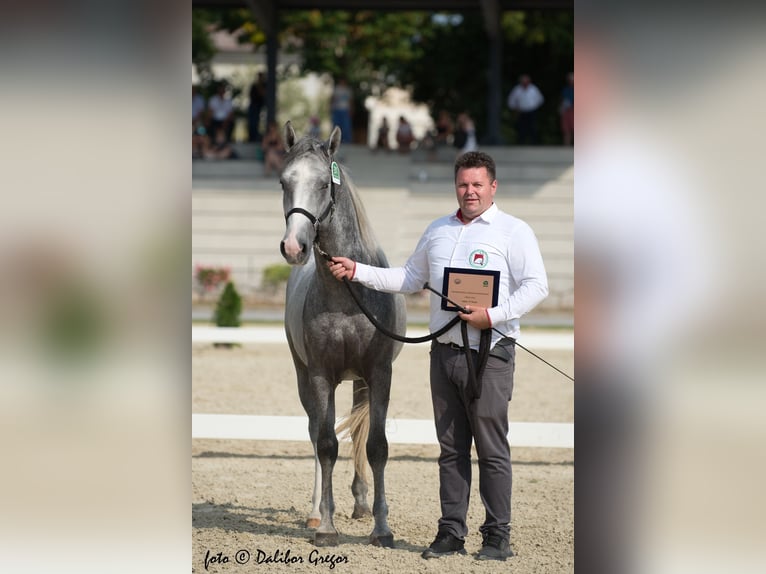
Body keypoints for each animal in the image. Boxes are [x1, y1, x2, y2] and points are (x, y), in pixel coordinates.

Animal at [278, 121, 404, 548]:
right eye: (284, 181)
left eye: (322, 183)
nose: (294, 247)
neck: (347, 295)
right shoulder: (319, 375)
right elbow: (327, 445)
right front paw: (328, 528)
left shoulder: (379, 373)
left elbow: (377, 445)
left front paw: (382, 528)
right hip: (305, 378)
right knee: (317, 434)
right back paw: (317, 513)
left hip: (360, 381)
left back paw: (362, 504)